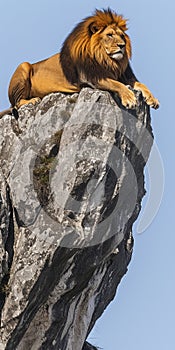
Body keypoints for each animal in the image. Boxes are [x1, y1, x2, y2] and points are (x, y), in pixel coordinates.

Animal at [0, 7, 159, 117]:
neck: (108, 60)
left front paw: (153, 99)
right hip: (23, 65)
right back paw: (32, 100)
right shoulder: (93, 78)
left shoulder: (125, 76)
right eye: (109, 35)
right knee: (17, 103)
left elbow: (141, 84)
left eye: (122, 36)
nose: (122, 45)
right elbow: (117, 84)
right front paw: (130, 99)